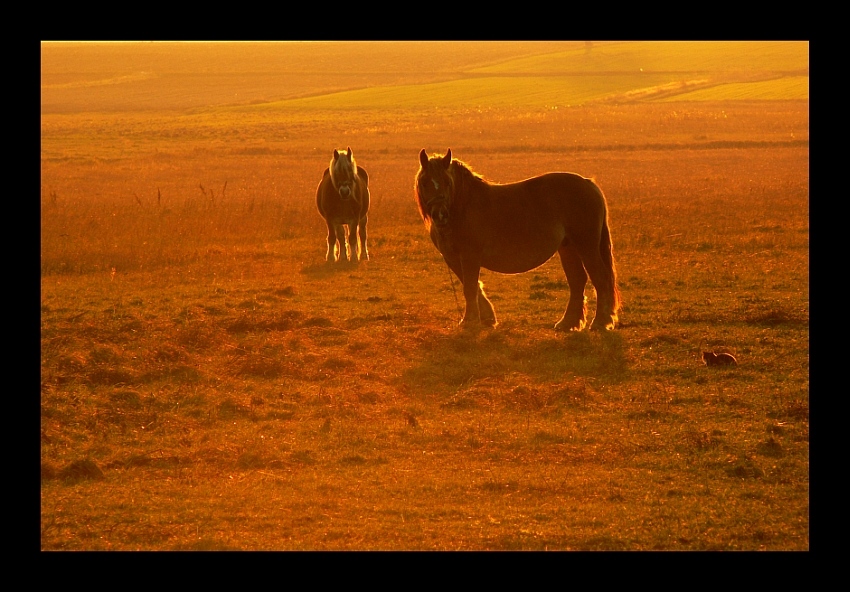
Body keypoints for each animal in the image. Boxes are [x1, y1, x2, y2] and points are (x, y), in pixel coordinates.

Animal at [414, 150, 620, 330]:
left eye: (447, 182)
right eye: (424, 182)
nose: (440, 214)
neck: (462, 207)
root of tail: (589, 184)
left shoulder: (470, 256)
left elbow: (470, 287)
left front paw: (470, 321)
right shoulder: (452, 258)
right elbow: (471, 285)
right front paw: (487, 318)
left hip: (587, 246)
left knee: (600, 278)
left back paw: (600, 322)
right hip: (568, 247)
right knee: (577, 281)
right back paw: (568, 323)